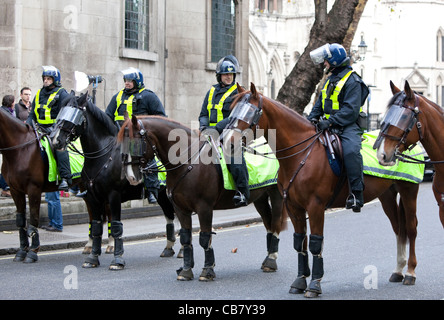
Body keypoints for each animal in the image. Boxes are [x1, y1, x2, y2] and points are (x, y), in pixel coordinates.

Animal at [0, 107, 87, 262]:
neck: (20, 150)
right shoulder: (16, 191)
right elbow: (21, 221)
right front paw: (22, 251)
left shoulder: (34, 189)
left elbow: (34, 218)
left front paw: (33, 251)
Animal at [49, 93, 178, 270]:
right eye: (61, 111)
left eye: (75, 113)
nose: (55, 140)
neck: (102, 157)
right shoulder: (92, 197)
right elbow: (96, 226)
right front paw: (92, 258)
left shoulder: (113, 196)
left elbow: (116, 226)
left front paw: (117, 259)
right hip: (163, 195)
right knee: (169, 215)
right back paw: (168, 248)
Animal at [118, 114, 284, 280]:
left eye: (135, 143)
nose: (131, 177)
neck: (188, 163)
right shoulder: (181, 209)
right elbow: (186, 238)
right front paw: (185, 270)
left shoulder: (204, 208)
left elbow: (204, 238)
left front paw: (207, 270)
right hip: (260, 198)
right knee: (268, 223)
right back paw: (268, 258)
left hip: (276, 194)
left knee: (275, 223)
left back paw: (271, 260)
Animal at [225, 82, 424, 298]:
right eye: (231, 110)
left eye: (250, 112)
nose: (226, 142)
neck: (302, 153)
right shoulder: (294, 208)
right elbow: (300, 242)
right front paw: (300, 281)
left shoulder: (316, 207)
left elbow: (315, 243)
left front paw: (314, 284)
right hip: (386, 194)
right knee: (398, 228)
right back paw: (398, 271)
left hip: (408, 190)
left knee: (411, 228)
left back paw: (410, 273)